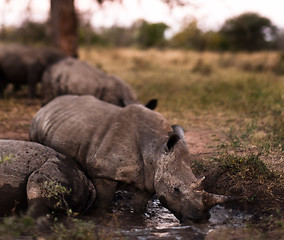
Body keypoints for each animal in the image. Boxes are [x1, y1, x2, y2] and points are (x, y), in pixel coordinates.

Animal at [29, 95, 237, 223]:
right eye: (176, 190)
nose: (201, 219)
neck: (157, 148)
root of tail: (49, 104)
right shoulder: (104, 174)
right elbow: (103, 203)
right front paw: (102, 216)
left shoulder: (149, 179)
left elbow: (139, 207)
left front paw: (140, 218)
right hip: (38, 123)